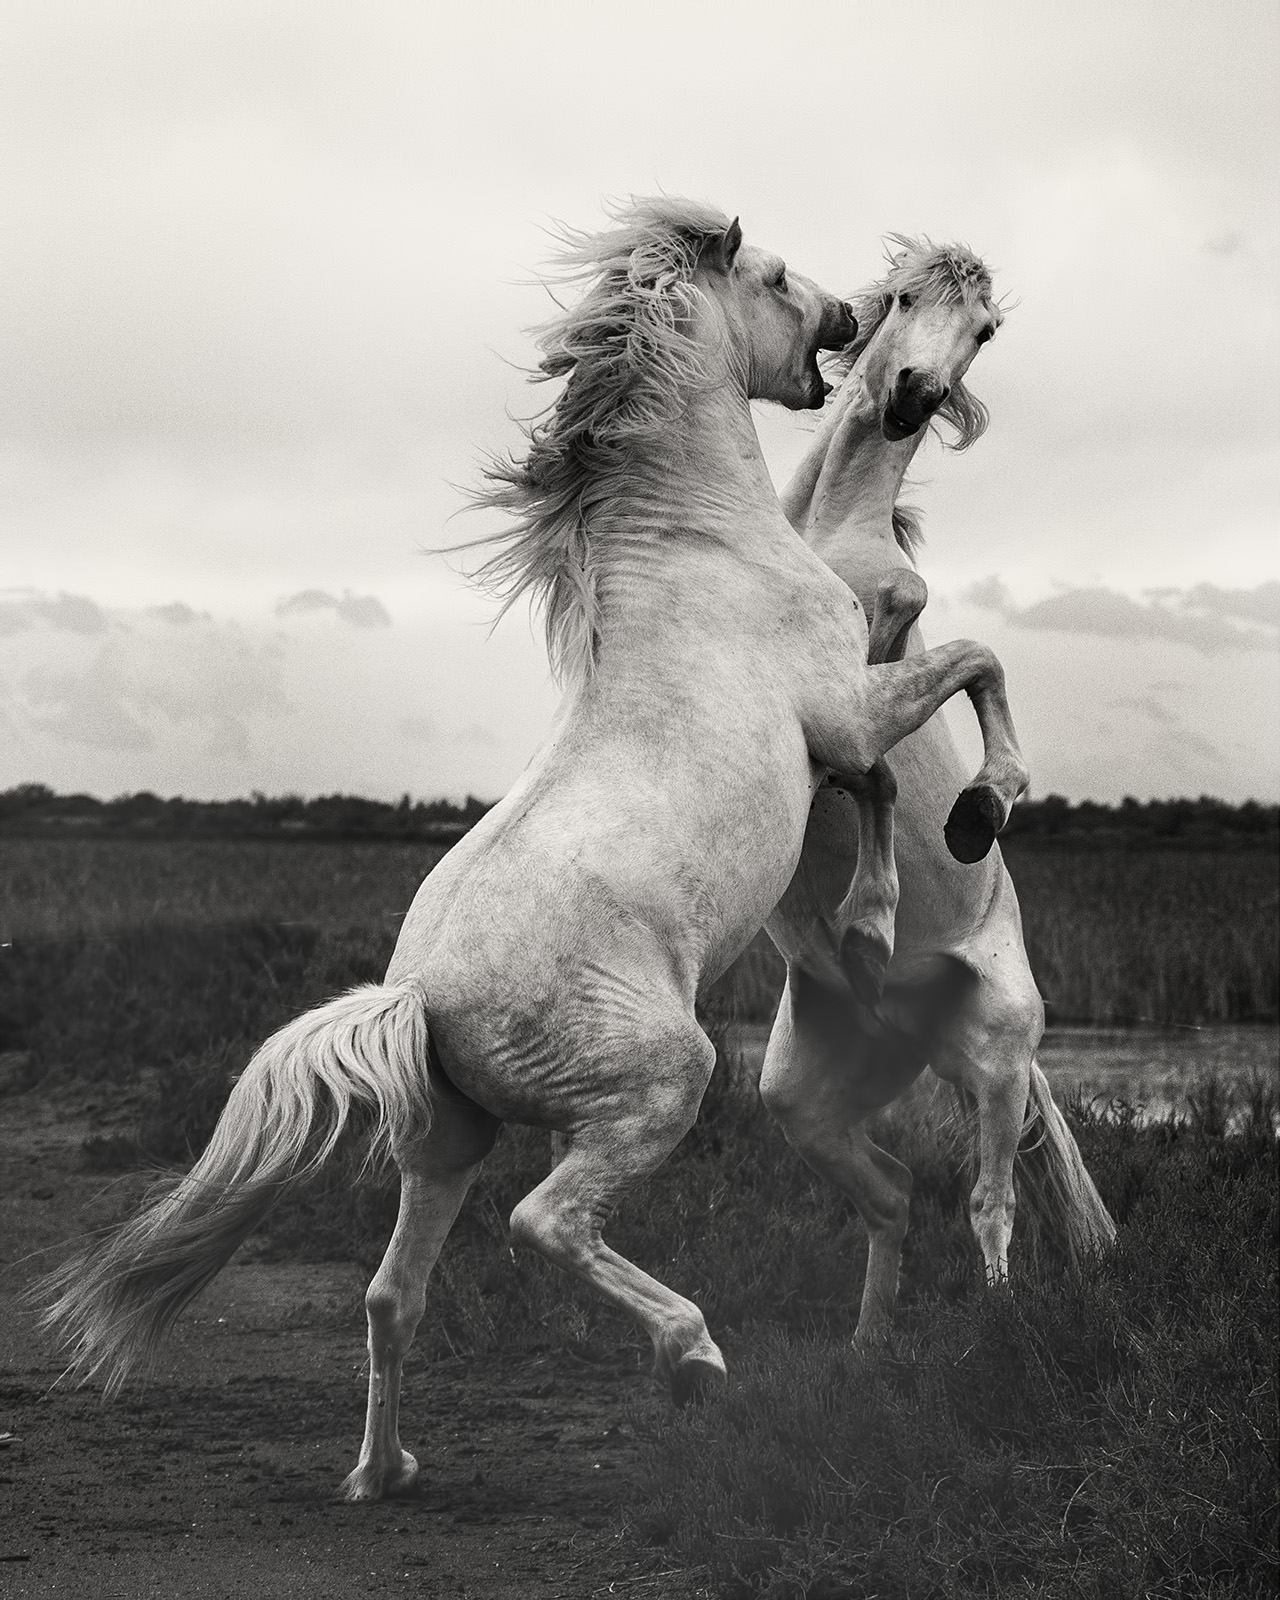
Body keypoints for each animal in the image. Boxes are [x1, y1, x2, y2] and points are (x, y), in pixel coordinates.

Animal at [42, 199, 1030, 1502]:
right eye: (773, 277)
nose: (846, 323)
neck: (708, 553)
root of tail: (419, 996)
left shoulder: (839, 731)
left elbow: (882, 772)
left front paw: (877, 906)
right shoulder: (845, 711)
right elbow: (964, 672)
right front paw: (964, 822)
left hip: (442, 1141)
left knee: (389, 1296)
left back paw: (384, 1471)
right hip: (655, 1087)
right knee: (546, 1223)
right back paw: (691, 1356)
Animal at [761, 236, 1116, 1346]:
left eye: (985, 332)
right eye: (906, 296)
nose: (913, 393)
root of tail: (913, 1025)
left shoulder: (876, 661)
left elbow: (973, 663)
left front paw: (974, 813)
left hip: (998, 1056)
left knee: (991, 1201)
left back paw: (999, 1331)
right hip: (803, 1095)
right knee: (889, 1195)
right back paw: (868, 1347)